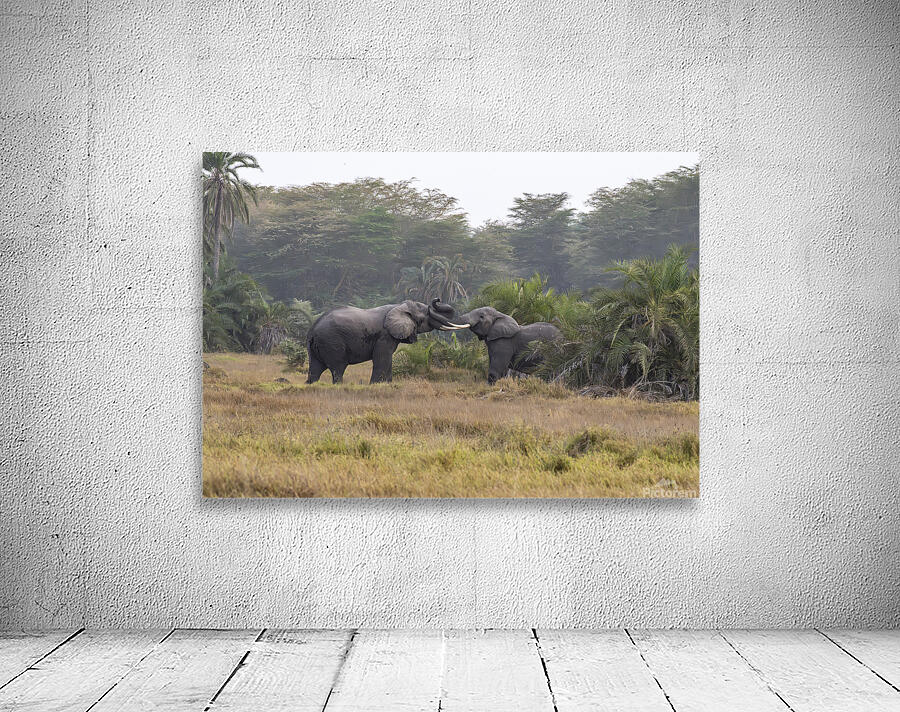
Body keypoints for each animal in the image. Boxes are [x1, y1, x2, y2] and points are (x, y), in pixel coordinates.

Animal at [306, 298, 466, 384]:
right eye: (424, 317)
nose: (437, 299)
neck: (399, 306)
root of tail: (312, 330)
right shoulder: (384, 335)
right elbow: (383, 358)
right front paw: (375, 385)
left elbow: (387, 359)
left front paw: (387, 384)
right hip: (332, 342)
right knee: (338, 367)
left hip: (317, 345)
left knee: (315, 368)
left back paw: (310, 385)